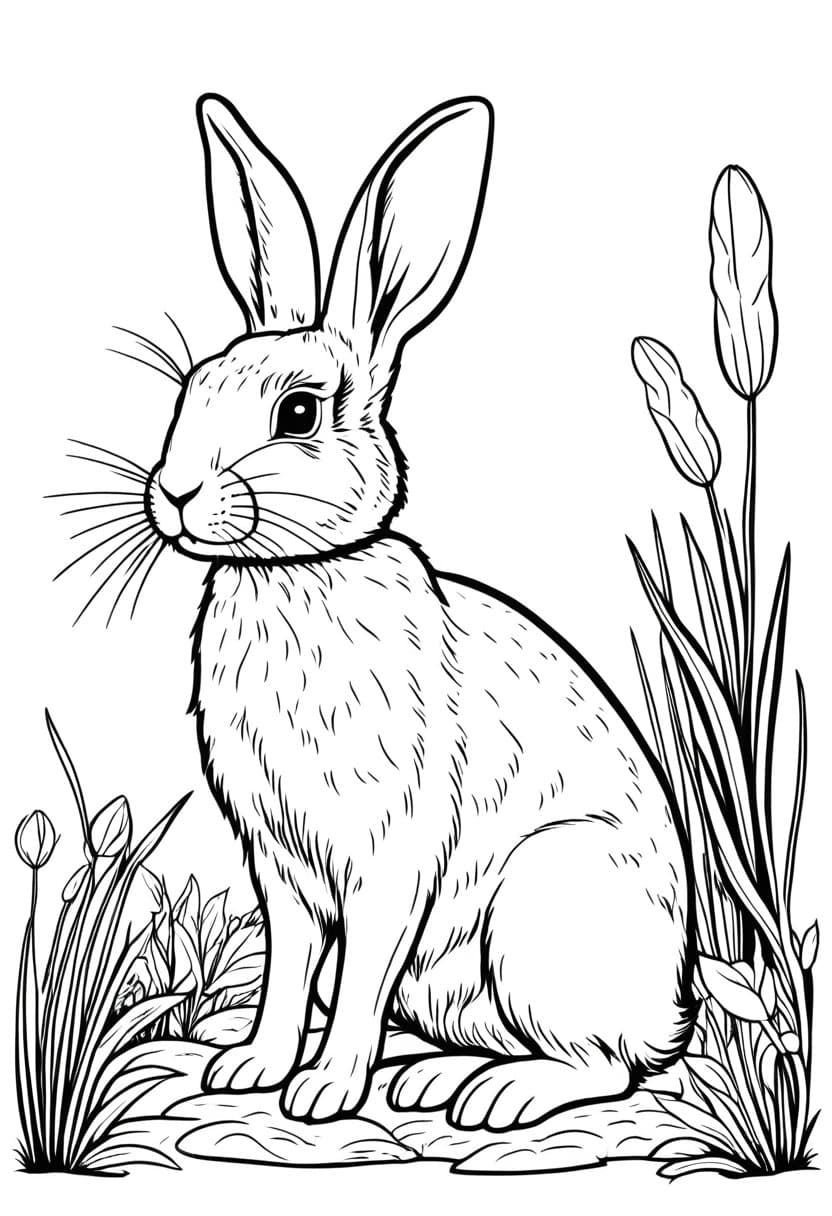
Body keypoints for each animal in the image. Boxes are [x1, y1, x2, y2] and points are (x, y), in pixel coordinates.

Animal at [144, 93, 695, 1131]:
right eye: (193, 388)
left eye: (299, 413)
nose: (176, 493)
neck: (301, 569)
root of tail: (667, 1003)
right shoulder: (280, 865)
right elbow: (289, 972)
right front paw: (250, 1068)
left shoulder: (390, 856)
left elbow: (359, 974)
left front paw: (323, 1091)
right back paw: (434, 1077)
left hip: (539, 914)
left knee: (605, 1066)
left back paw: (498, 1096)